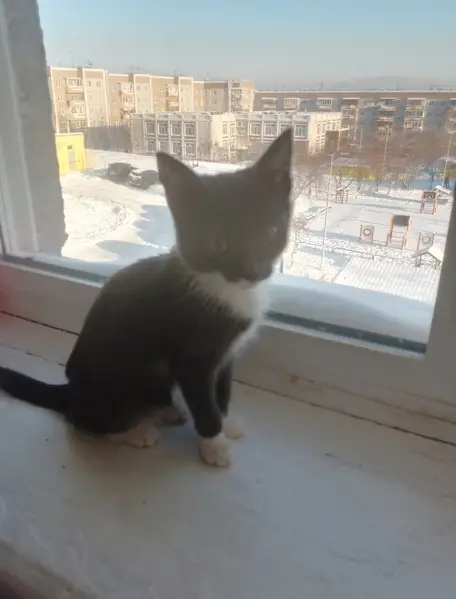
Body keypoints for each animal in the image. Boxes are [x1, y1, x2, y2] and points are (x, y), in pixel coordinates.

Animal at [0, 129, 292, 467]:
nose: (252, 271)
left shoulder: (226, 354)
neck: (222, 286)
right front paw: (214, 443)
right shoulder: (191, 358)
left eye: (269, 232)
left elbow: (222, 388)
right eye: (218, 243)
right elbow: (202, 401)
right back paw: (136, 430)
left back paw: (165, 410)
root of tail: (71, 391)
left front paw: (226, 421)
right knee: (82, 420)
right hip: (112, 384)